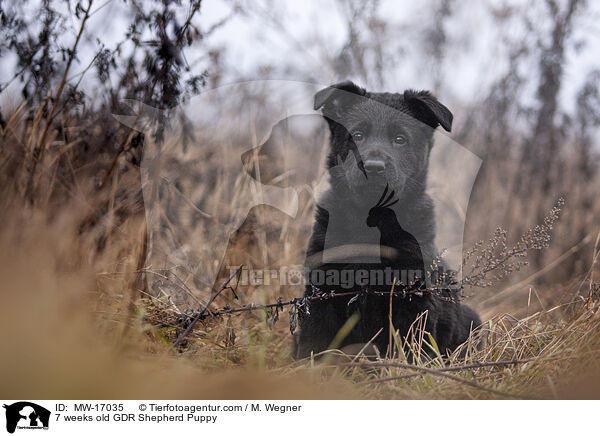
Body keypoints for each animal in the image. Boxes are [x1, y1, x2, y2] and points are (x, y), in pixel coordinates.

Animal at [292, 80, 480, 360]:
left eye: (400, 139)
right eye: (357, 135)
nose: (373, 166)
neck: (372, 219)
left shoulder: (412, 298)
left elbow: (410, 346)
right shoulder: (321, 292)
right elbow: (314, 342)